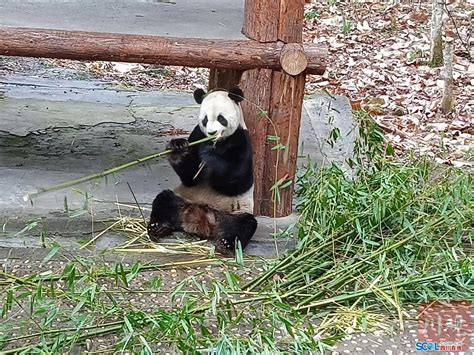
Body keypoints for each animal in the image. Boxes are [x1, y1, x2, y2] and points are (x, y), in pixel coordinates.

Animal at [149, 87, 258, 258]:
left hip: (235, 211)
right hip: (183, 200)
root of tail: (202, 219)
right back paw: (158, 227)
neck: (217, 142)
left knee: (243, 225)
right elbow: (189, 177)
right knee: (164, 200)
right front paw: (178, 147)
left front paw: (210, 155)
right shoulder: (197, 135)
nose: (212, 133)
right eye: (205, 119)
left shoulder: (241, 138)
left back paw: (226, 244)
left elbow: (239, 181)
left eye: (221, 118)